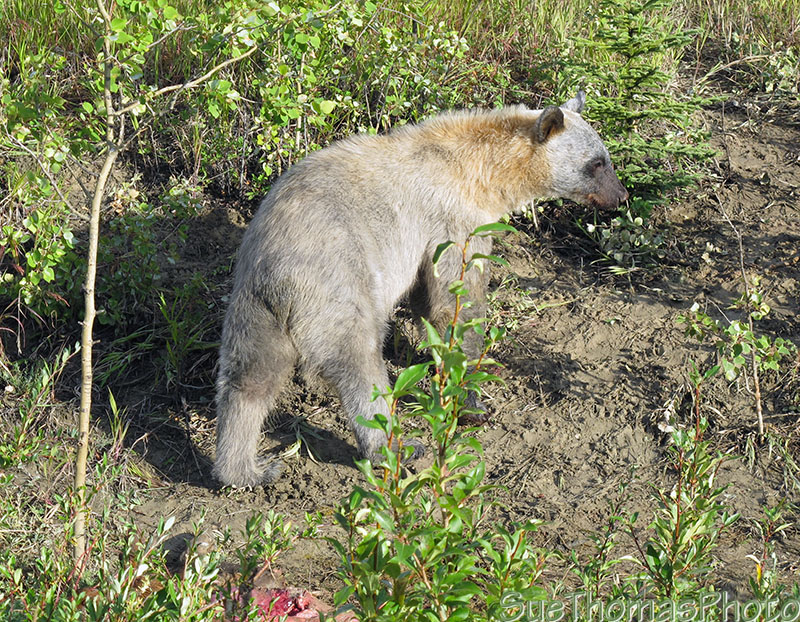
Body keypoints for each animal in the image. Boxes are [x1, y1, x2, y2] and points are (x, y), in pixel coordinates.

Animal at [214, 91, 628, 487]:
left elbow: (426, 301)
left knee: (248, 379)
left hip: (254, 306)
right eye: (597, 163)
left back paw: (245, 469)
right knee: (361, 363)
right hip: (338, 283)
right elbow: (456, 301)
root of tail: (280, 274)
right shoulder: (452, 221)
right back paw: (395, 446)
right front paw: (472, 401)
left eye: (605, 157)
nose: (621, 196)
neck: (483, 173)